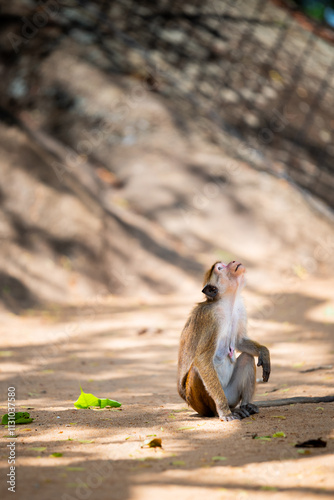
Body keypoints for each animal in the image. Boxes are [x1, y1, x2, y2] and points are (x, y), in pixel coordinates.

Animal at [177, 262, 272, 422]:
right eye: (220, 268)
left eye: (222, 264)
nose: (233, 262)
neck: (227, 302)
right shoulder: (211, 318)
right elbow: (202, 359)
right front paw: (224, 412)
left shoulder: (240, 308)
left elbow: (239, 342)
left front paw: (264, 353)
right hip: (205, 402)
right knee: (196, 370)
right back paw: (221, 411)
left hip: (231, 395)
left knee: (247, 358)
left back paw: (246, 406)